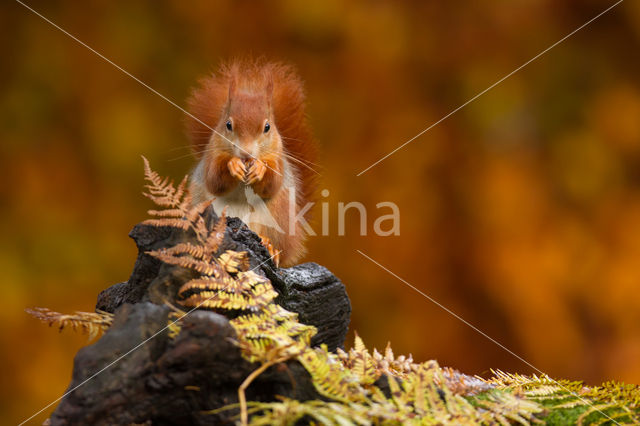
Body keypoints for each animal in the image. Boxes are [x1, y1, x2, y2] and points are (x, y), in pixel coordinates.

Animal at [185, 60, 318, 266]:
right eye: (228, 125)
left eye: (267, 127)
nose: (246, 154)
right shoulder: (212, 155)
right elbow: (214, 180)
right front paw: (233, 165)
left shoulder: (278, 158)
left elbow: (272, 184)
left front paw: (260, 168)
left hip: (277, 217)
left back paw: (270, 246)